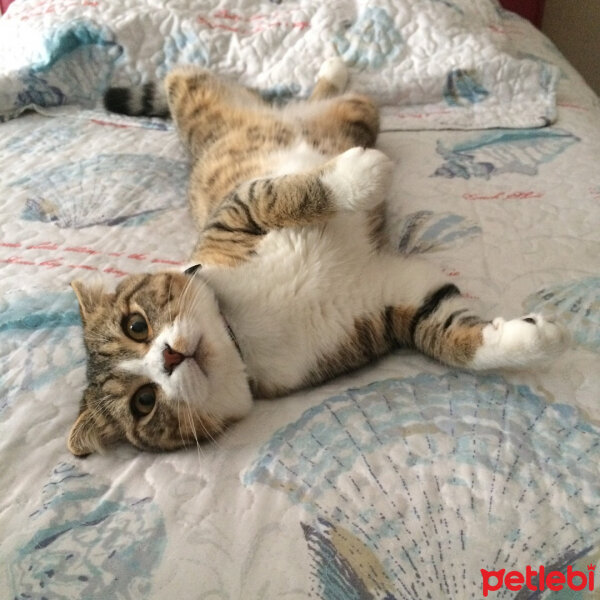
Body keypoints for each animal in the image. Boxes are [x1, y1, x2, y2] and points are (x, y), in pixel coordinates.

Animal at [68, 59, 568, 454]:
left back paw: (332, 69)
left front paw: (359, 174)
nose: (169, 357)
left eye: (135, 325)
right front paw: (529, 338)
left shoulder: (232, 217)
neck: (237, 331)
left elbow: (281, 195)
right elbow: (440, 328)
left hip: (203, 94)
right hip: (355, 115)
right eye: (144, 402)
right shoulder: (381, 307)